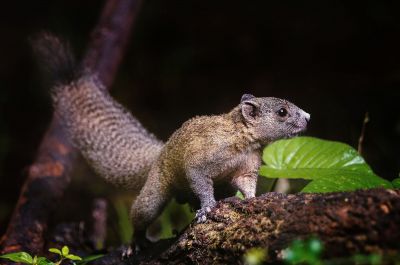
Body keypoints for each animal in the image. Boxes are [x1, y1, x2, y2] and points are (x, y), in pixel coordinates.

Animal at [32, 33, 310, 248]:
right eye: (282, 112)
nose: (308, 117)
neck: (242, 141)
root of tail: (160, 152)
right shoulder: (200, 160)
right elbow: (201, 182)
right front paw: (207, 208)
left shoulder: (247, 170)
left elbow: (248, 188)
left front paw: (253, 201)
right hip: (153, 195)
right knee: (141, 215)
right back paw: (135, 243)